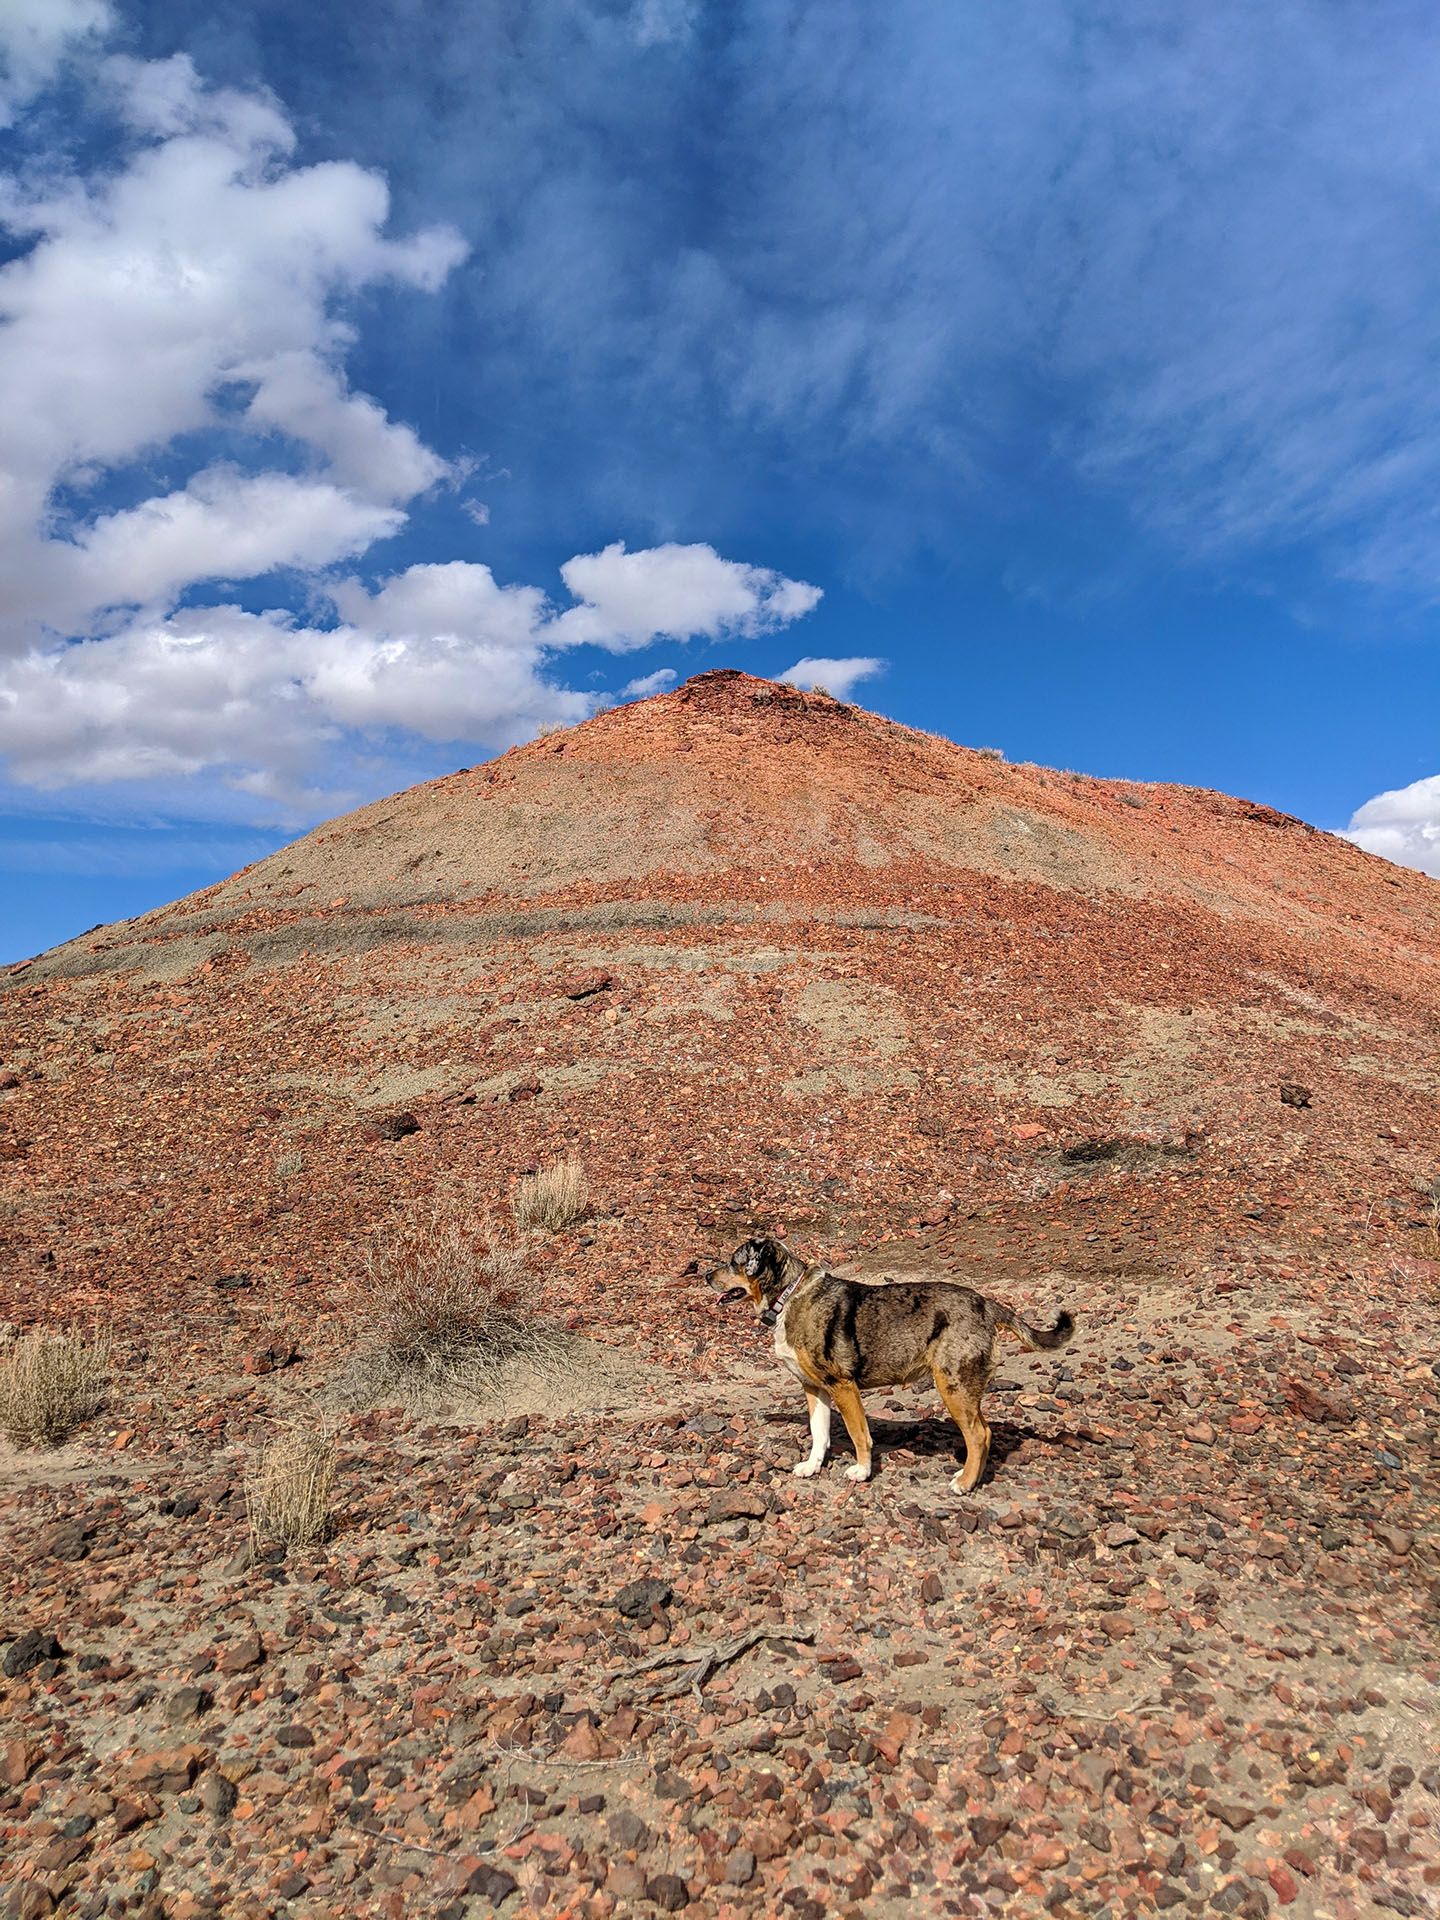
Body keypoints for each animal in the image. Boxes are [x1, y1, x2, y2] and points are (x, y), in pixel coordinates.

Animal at [718, 1236, 1075, 1489]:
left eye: (734, 1262)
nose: (706, 1274)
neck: (788, 1296)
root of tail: (987, 1305)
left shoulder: (843, 1387)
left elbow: (859, 1435)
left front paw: (862, 1472)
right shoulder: (814, 1389)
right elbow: (819, 1434)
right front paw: (812, 1466)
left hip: (952, 1385)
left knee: (978, 1436)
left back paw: (964, 1483)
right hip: (963, 1389)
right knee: (984, 1433)